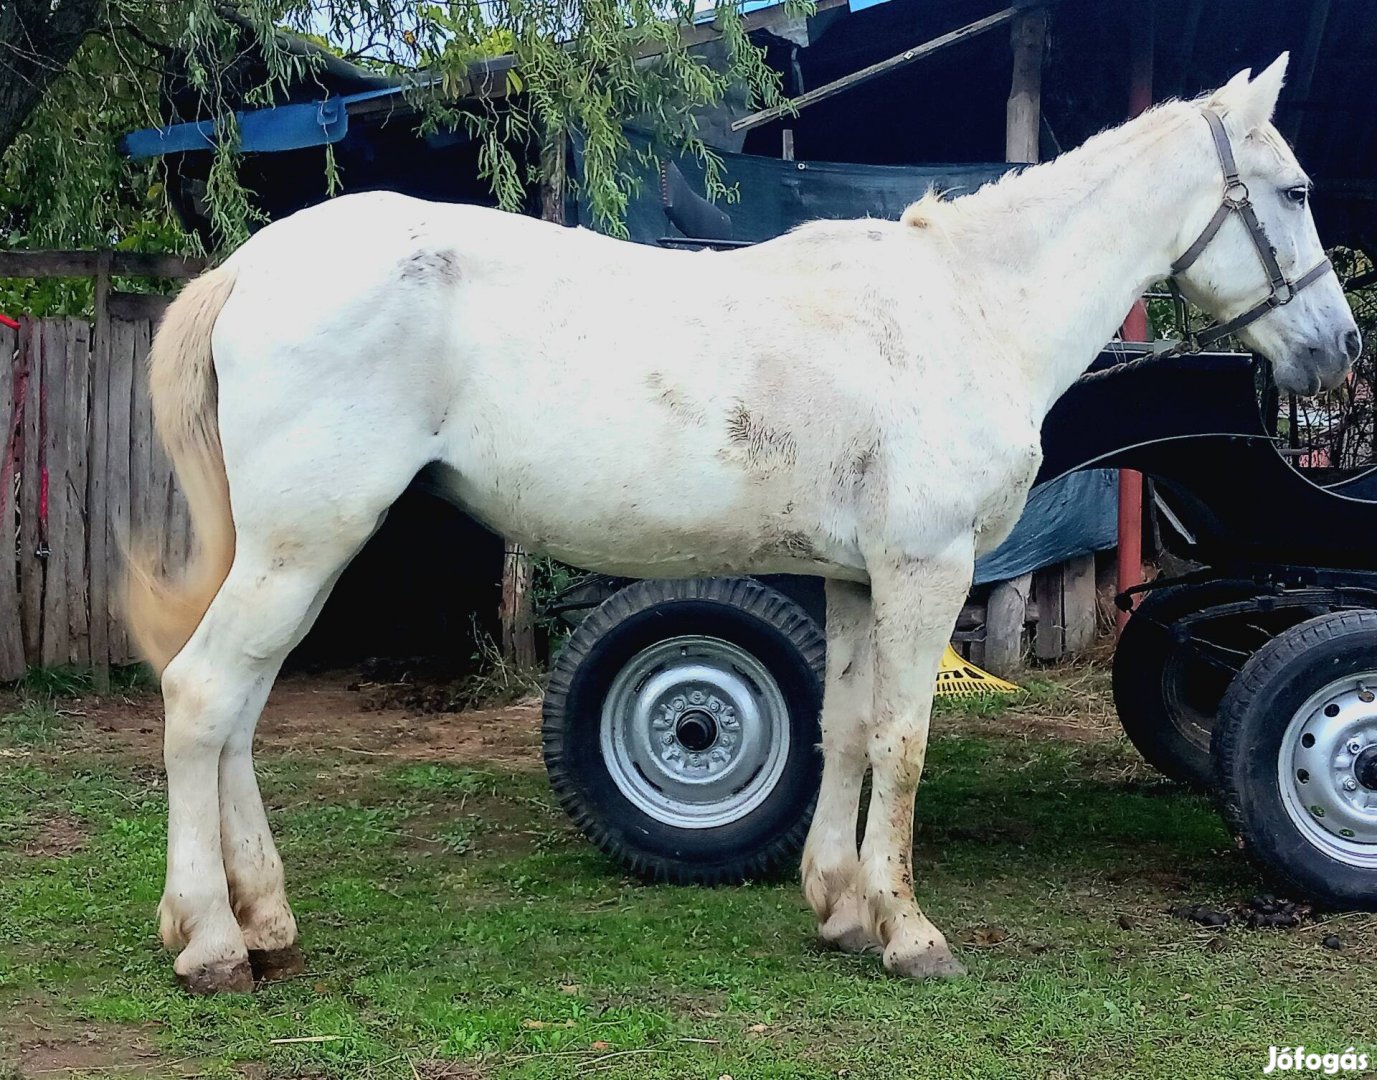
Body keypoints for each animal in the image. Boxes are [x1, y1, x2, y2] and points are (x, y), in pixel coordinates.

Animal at [126, 52, 1354, 997]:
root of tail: (250, 267)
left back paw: (265, 920)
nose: (1338, 351)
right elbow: (903, 741)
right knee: (204, 697)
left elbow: (845, 731)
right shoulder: (925, 570)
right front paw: (910, 932)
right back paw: (213, 944)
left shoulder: (857, 580)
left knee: (237, 715)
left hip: (294, 553)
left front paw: (841, 909)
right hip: (305, 545)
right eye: (1295, 190)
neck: (964, 310)